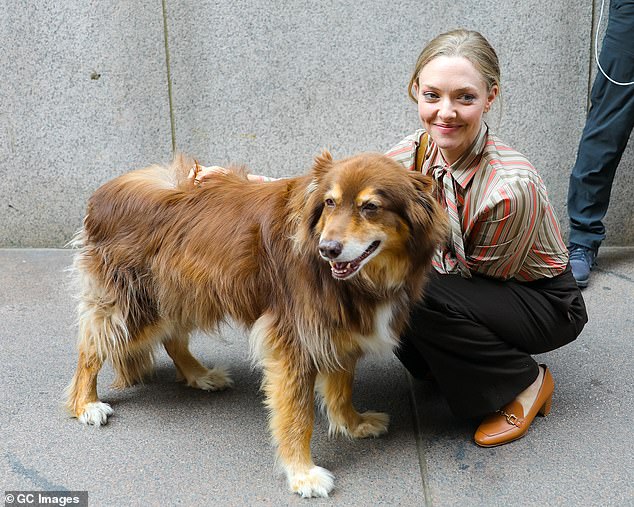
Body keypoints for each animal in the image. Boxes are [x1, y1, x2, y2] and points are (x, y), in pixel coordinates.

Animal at [64, 152, 444, 500]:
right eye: (329, 203)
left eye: (370, 207)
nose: (328, 249)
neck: (364, 280)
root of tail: (104, 192)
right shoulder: (294, 340)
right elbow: (297, 415)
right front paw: (302, 473)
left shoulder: (334, 328)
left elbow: (340, 389)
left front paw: (353, 423)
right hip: (131, 305)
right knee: (90, 347)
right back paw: (86, 404)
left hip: (184, 292)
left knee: (171, 338)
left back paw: (199, 375)